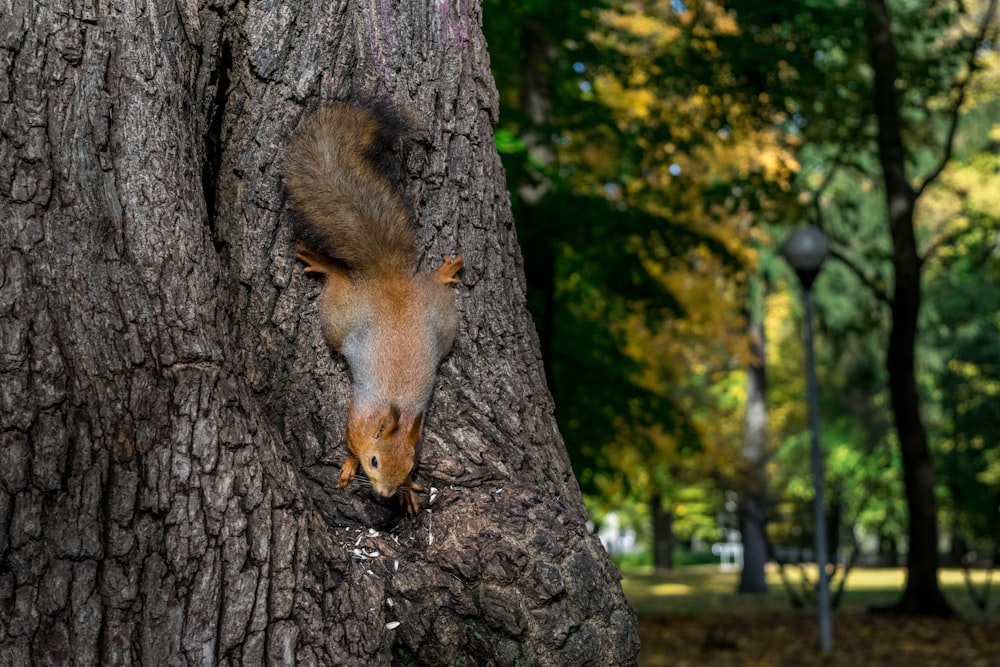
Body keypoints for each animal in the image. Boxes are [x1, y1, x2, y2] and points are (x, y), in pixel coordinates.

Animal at [284, 102, 462, 516]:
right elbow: (350, 444)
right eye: (375, 461)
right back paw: (327, 265)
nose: (384, 493)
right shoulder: (358, 419)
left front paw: (409, 492)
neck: (393, 411)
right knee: (337, 285)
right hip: (340, 317)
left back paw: (443, 273)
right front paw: (350, 466)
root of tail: (388, 279)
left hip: (442, 320)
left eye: (411, 466)